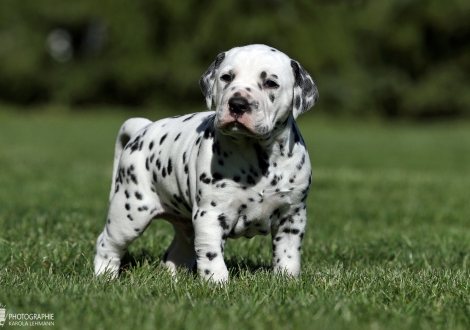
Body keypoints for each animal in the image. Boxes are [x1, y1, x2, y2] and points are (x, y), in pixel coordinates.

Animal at [93, 43, 318, 282]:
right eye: (226, 77)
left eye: (270, 83)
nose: (237, 104)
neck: (257, 155)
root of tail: (142, 128)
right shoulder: (210, 214)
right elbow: (211, 254)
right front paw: (217, 282)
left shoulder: (292, 215)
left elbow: (288, 253)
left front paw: (287, 279)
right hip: (130, 212)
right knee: (107, 243)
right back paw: (105, 276)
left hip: (183, 225)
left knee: (176, 252)